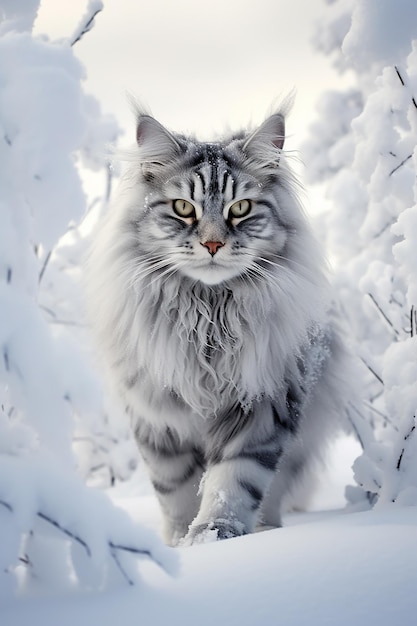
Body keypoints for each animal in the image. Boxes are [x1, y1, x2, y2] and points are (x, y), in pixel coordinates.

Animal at [86, 103, 350, 544]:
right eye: (183, 208)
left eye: (240, 209)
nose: (212, 244)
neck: (208, 317)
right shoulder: (159, 420)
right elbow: (175, 491)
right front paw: (180, 543)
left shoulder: (262, 406)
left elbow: (234, 482)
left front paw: (214, 534)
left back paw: (265, 528)